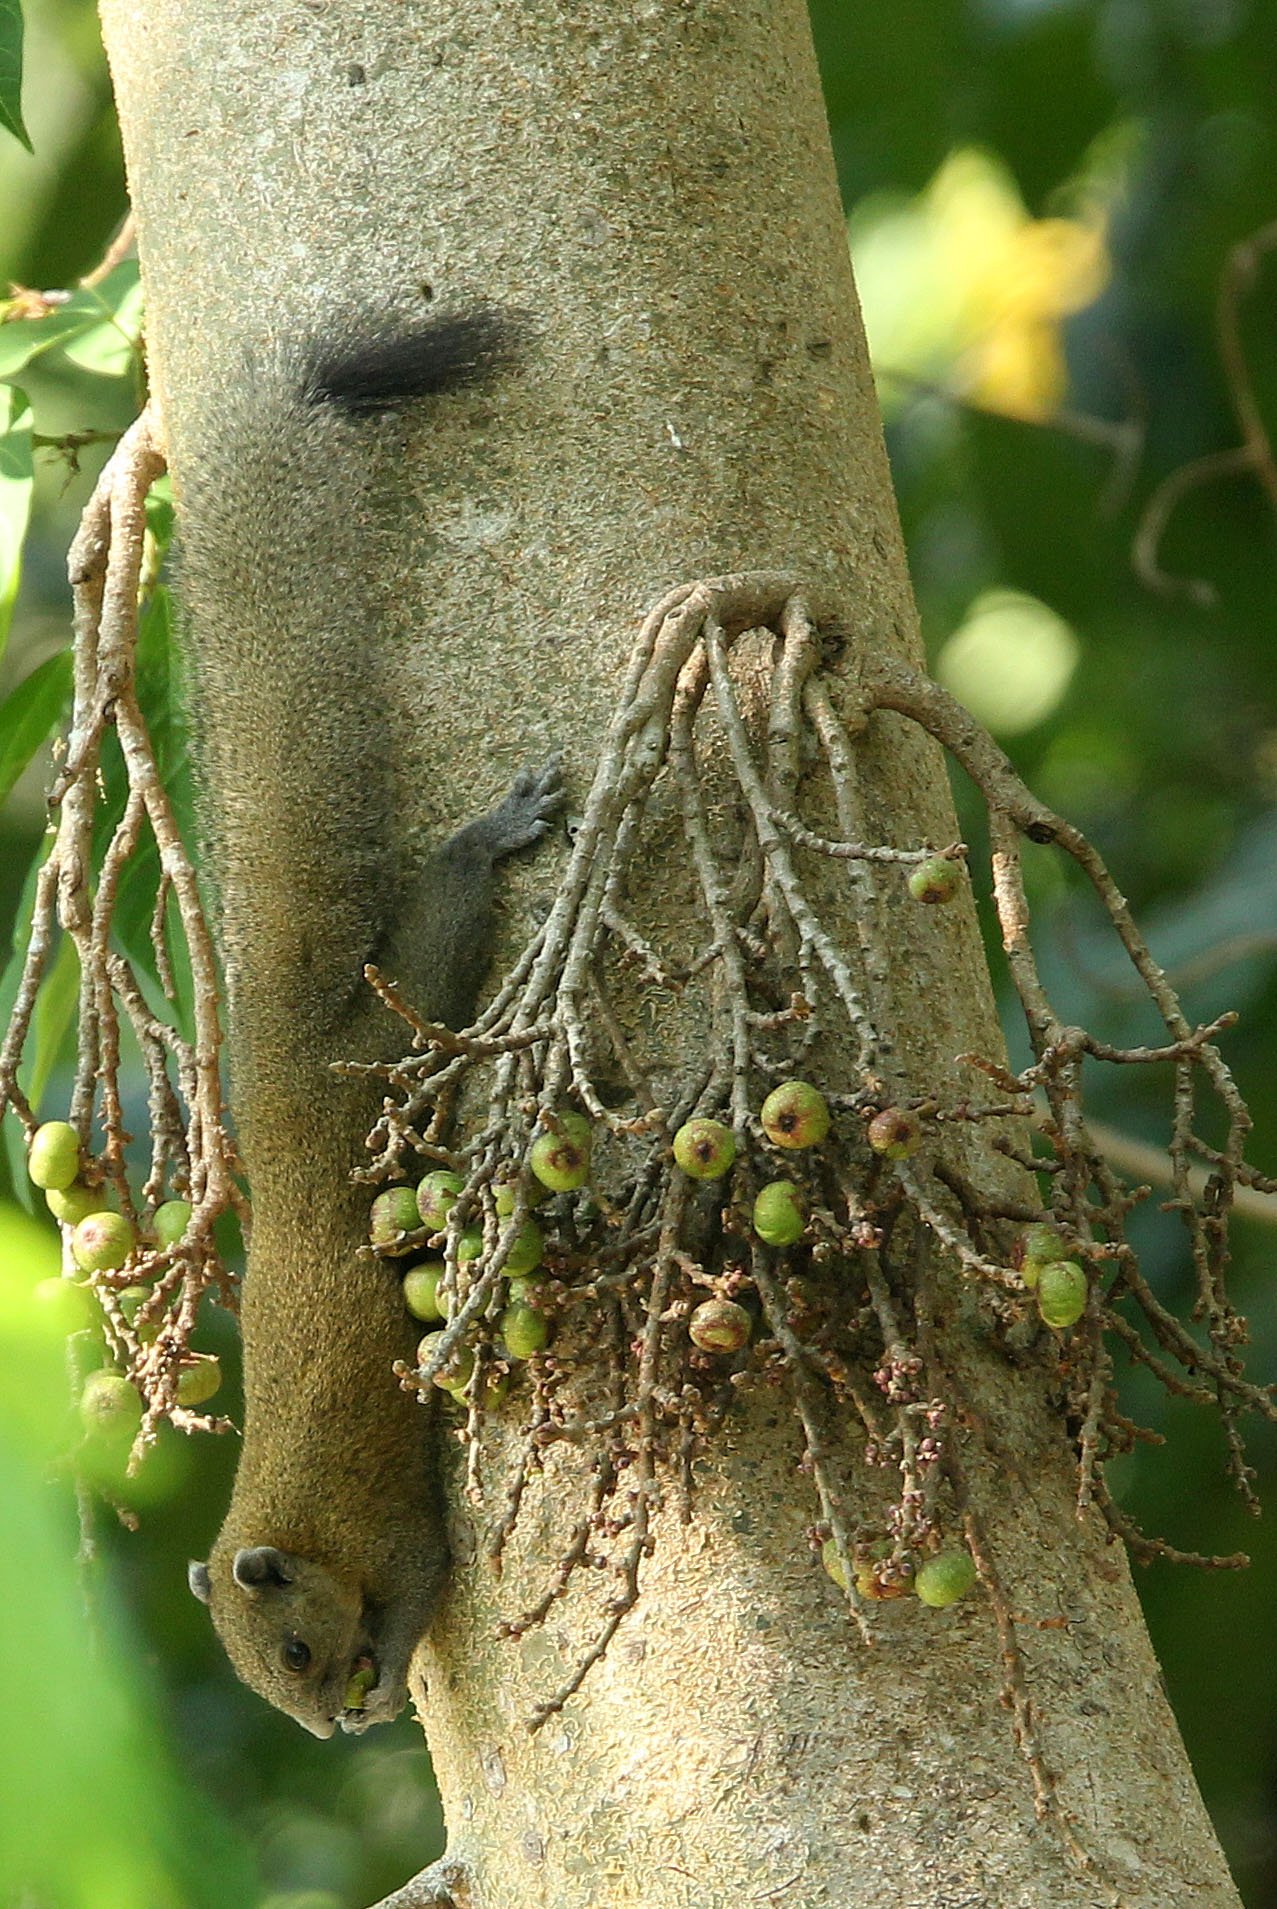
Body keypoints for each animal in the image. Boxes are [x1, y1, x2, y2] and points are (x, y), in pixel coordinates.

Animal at [179, 306, 561, 1737]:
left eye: (291, 1650)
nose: (324, 1724)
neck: (294, 1520)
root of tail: (280, 1076)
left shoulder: (392, 1533)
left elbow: (422, 1587)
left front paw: (387, 1680)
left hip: (402, 1036)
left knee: (445, 919)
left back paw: (491, 834)